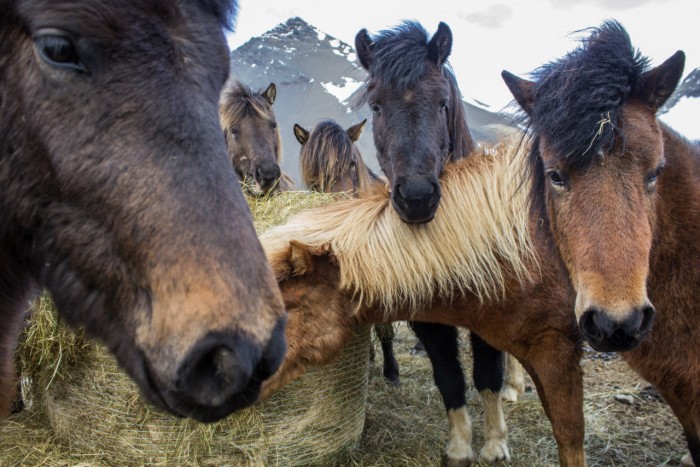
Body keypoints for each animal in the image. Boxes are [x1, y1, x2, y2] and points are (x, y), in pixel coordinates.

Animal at [356, 20, 524, 462]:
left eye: (442, 103)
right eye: (376, 106)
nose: (417, 197)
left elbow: (487, 374)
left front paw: (495, 444)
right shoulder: (427, 321)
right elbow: (449, 378)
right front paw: (459, 447)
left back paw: (517, 386)